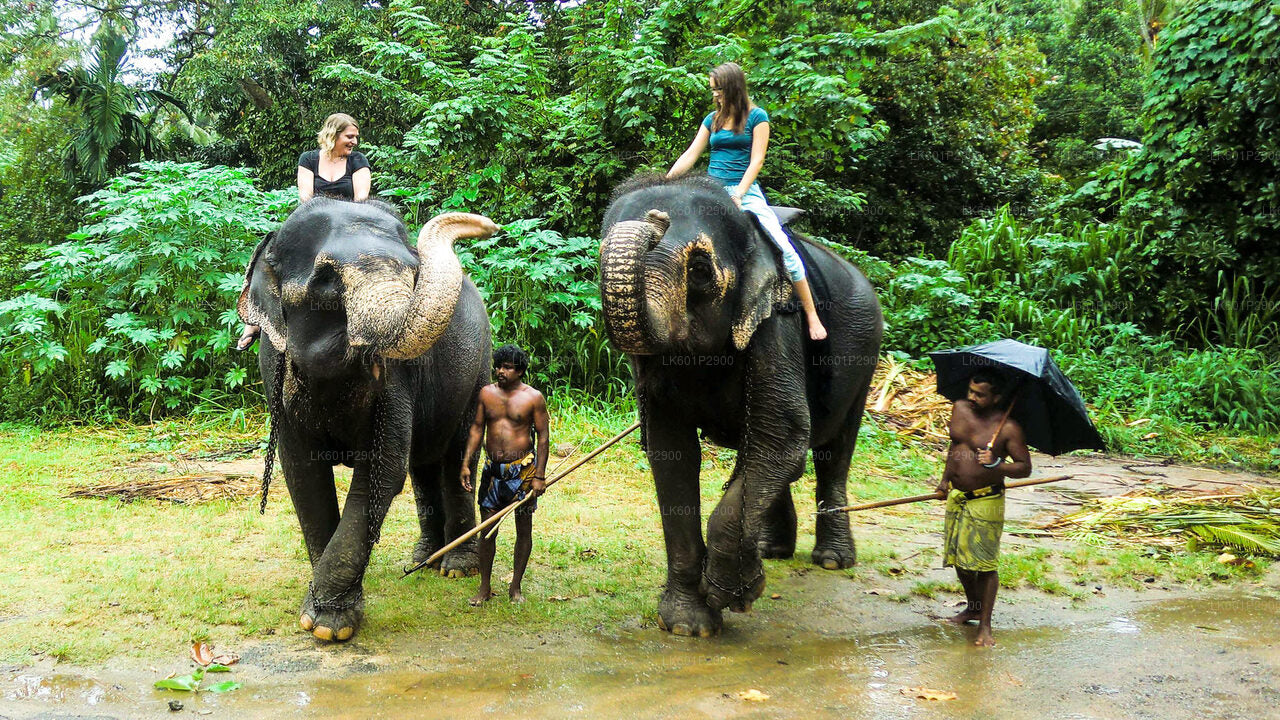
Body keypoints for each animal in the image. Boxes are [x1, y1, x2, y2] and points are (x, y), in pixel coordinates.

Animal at [238, 197, 496, 638]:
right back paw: (423, 559)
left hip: (478, 366)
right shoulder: (275, 372)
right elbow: (303, 475)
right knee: (423, 464)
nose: (490, 225)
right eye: (325, 280)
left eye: (414, 272)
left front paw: (328, 626)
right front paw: (324, 618)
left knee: (456, 456)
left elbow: (382, 471)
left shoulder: (396, 378)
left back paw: (456, 568)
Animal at [596, 174, 880, 632]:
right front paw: (688, 625)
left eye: (699, 270)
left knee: (832, 451)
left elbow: (781, 433)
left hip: (866, 355)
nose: (656, 219)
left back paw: (833, 560)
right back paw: (770, 550)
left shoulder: (777, 323)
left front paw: (733, 595)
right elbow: (672, 452)